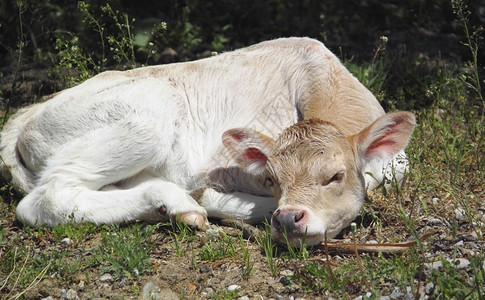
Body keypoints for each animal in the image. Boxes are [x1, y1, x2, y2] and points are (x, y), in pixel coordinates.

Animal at [0, 37, 416, 245]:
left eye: (335, 176)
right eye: (272, 179)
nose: (288, 219)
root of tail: (26, 113)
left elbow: (395, 170)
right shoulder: (211, 165)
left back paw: (170, 205)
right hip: (152, 112)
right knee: (46, 199)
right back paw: (175, 203)